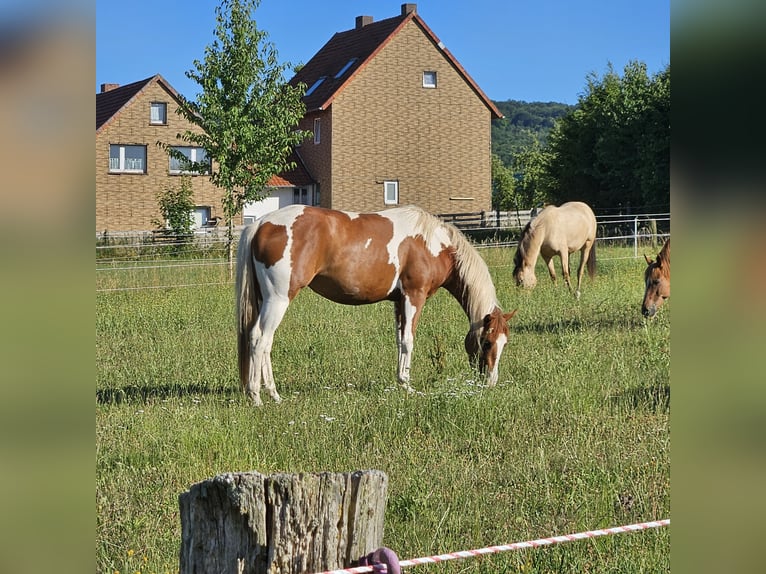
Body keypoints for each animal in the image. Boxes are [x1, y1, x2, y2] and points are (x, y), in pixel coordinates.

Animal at [236, 204, 517, 406]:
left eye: (505, 343)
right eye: (487, 342)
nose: (490, 382)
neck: (435, 244)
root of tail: (261, 223)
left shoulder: (399, 302)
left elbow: (399, 341)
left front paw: (400, 383)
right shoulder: (414, 296)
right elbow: (409, 341)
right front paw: (408, 386)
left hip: (265, 300)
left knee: (261, 342)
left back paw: (269, 394)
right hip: (278, 299)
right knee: (260, 339)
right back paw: (259, 397)